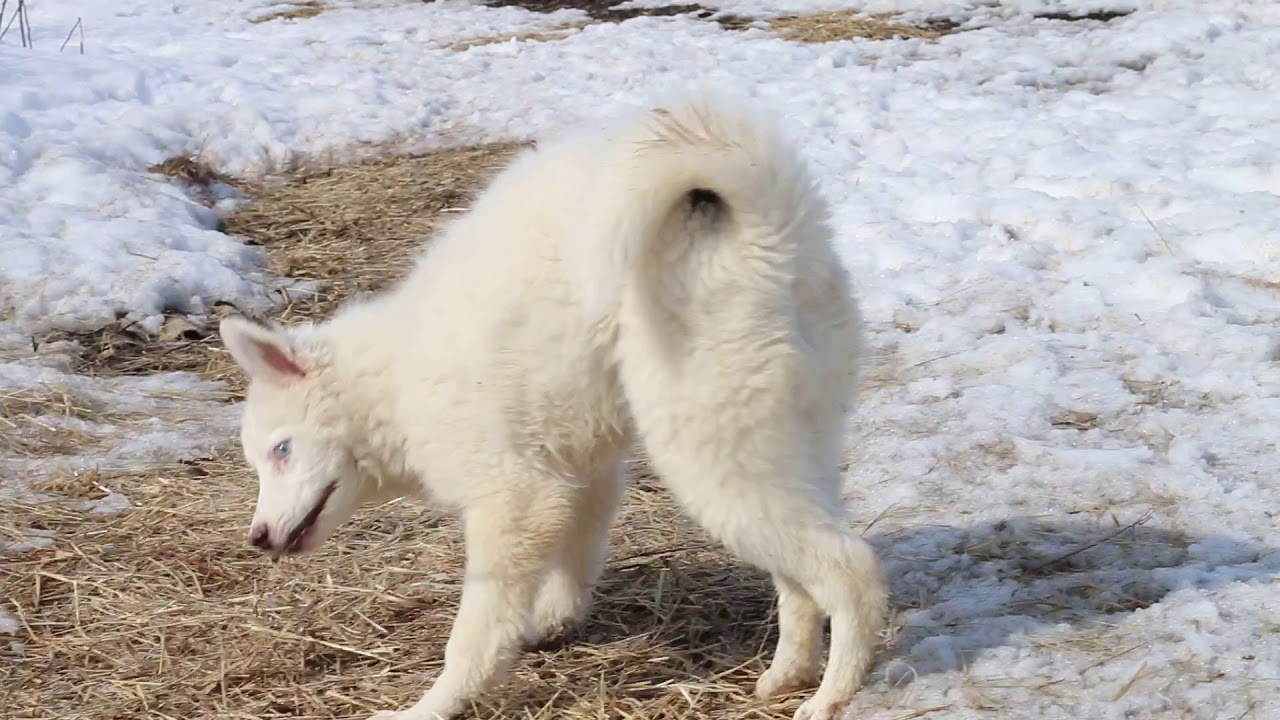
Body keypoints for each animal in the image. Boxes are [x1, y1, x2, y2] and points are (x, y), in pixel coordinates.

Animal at [219, 93, 888, 720]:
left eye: (282, 450)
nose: (257, 538)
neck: (391, 380)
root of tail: (773, 234)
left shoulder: (514, 500)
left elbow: (475, 633)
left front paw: (435, 704)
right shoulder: (580, 473)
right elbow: (573, 561)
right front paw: (552, 623)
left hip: (715, 457)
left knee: (850, 569)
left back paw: (831, 696)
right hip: (786, 450)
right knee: (801, 577)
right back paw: (787, 674)